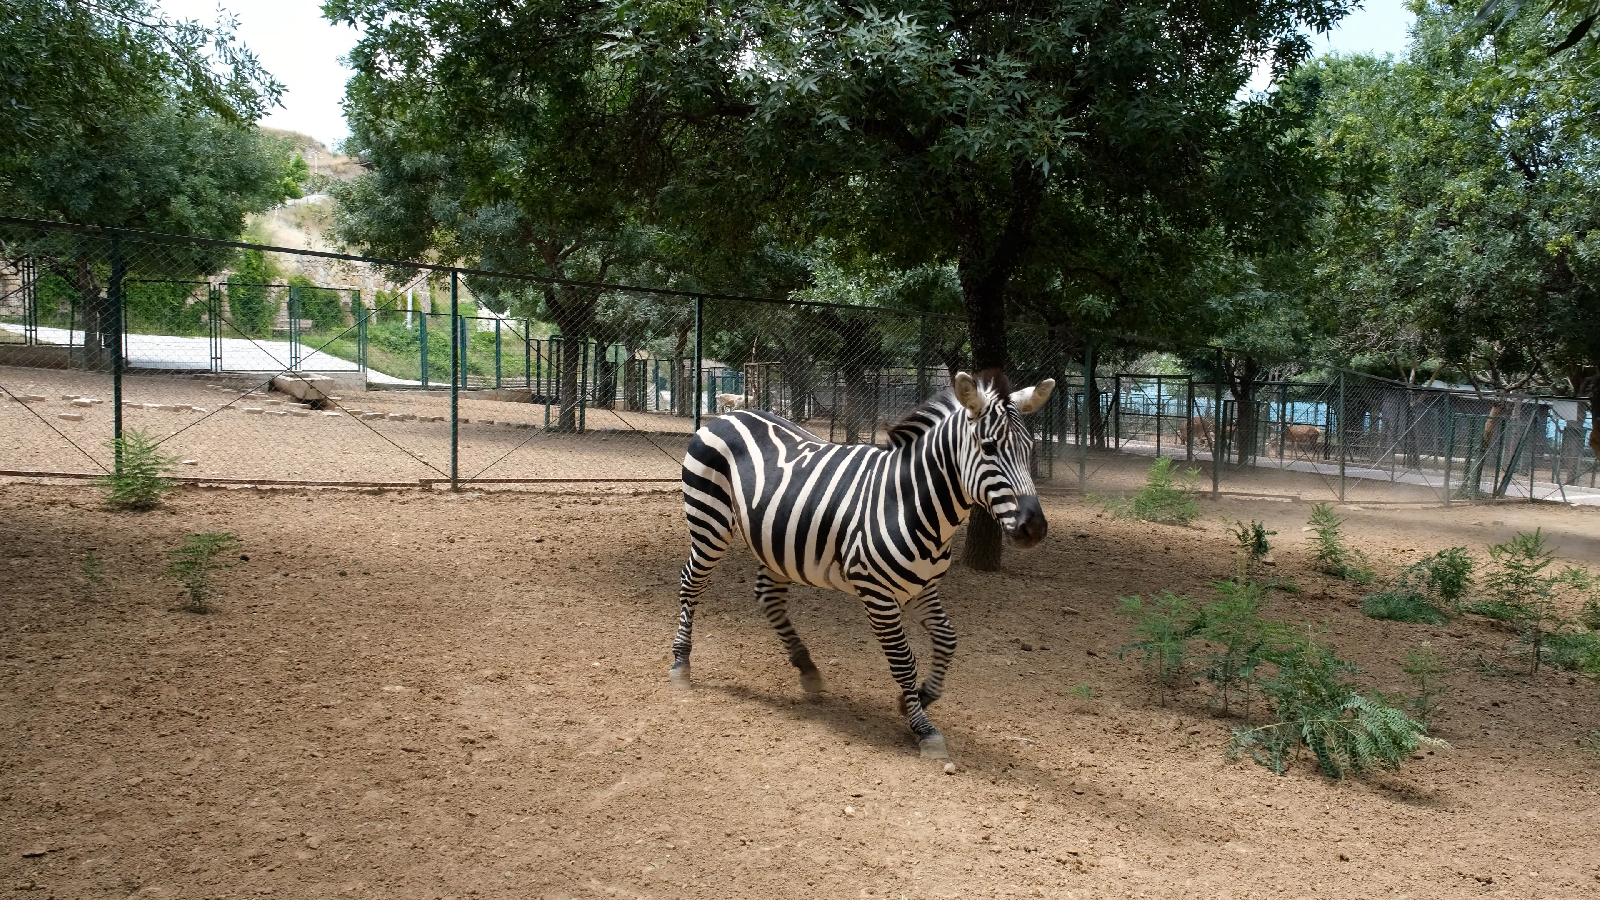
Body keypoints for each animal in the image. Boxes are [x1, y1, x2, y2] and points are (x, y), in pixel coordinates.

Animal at [668, 369, 1056, 755]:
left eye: (1030, 449)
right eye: (989, 448)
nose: (1035, 528)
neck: (912, 504)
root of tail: (728, 416)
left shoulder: (923, 587)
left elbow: (948, 639)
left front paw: (920, 698)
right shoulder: (877, 594)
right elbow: (904, 661)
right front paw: (922, 727)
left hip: (775, 542)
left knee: (768, 595)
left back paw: (807, 667)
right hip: (710, 521)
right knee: (690, 582)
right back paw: (680, 663)